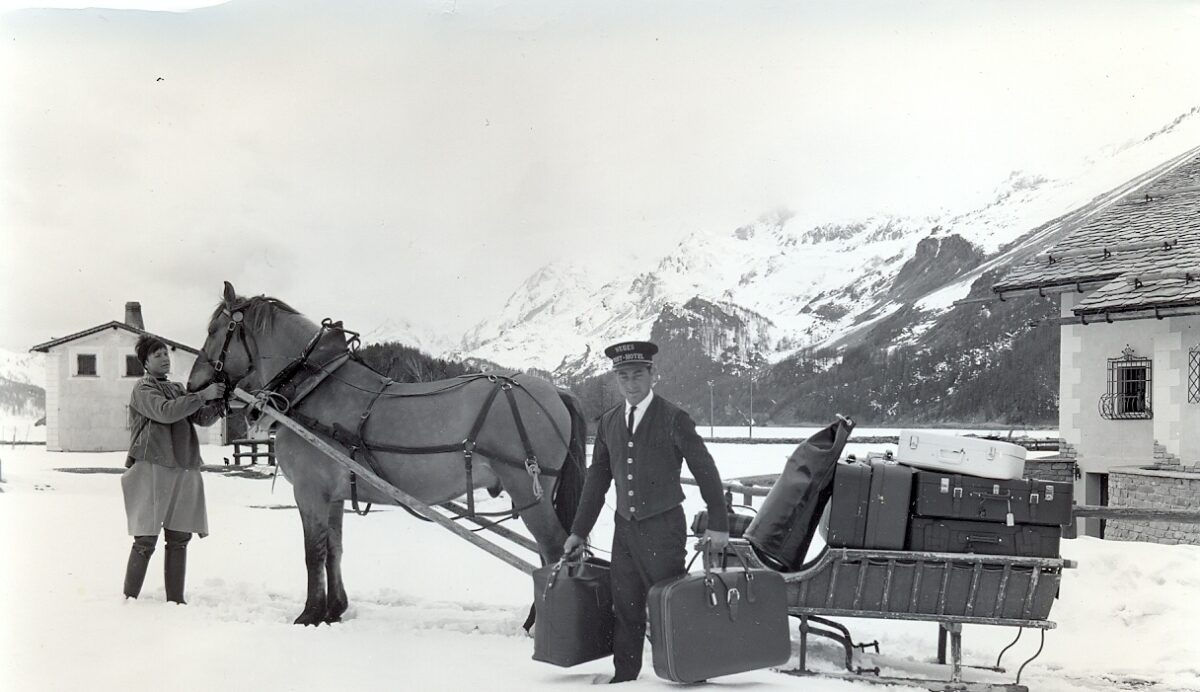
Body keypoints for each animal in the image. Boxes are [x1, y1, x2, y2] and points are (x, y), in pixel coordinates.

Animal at [187, 281, 590, 623]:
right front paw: (334, 610)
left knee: (554, 550)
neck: (314, 387)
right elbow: (334, 548)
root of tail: (558, 392)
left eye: (214, 331)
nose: (193, 388)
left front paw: (310, 614)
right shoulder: (333, 495)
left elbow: (312, 552)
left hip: (528, 490)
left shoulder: (309, 490)